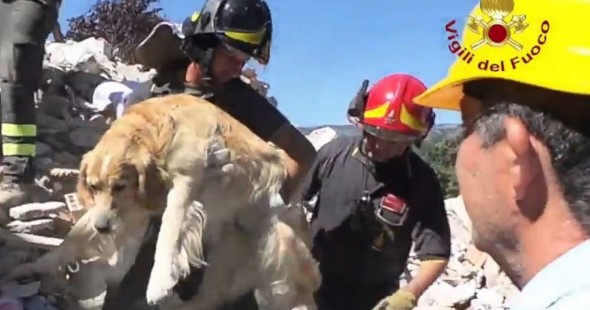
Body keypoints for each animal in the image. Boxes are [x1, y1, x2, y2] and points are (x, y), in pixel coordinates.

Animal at [2, 93, 322, 308]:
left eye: (120, 186)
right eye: (93, 187)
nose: (103, 228)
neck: (158, 129)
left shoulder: (186, 181)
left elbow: (170, 229)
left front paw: (158, 283)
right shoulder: (133, 209)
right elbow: (75, 239)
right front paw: (34, 265)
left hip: (277, 259)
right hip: (226, 257)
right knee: (210, 297)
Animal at [302, 73, 450, 310]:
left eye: (396, 143)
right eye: (374, 137)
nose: (377, 150)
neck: (378, 167)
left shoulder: (431, 189)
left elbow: (434, 252)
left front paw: (399, 300)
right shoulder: (324, 155)